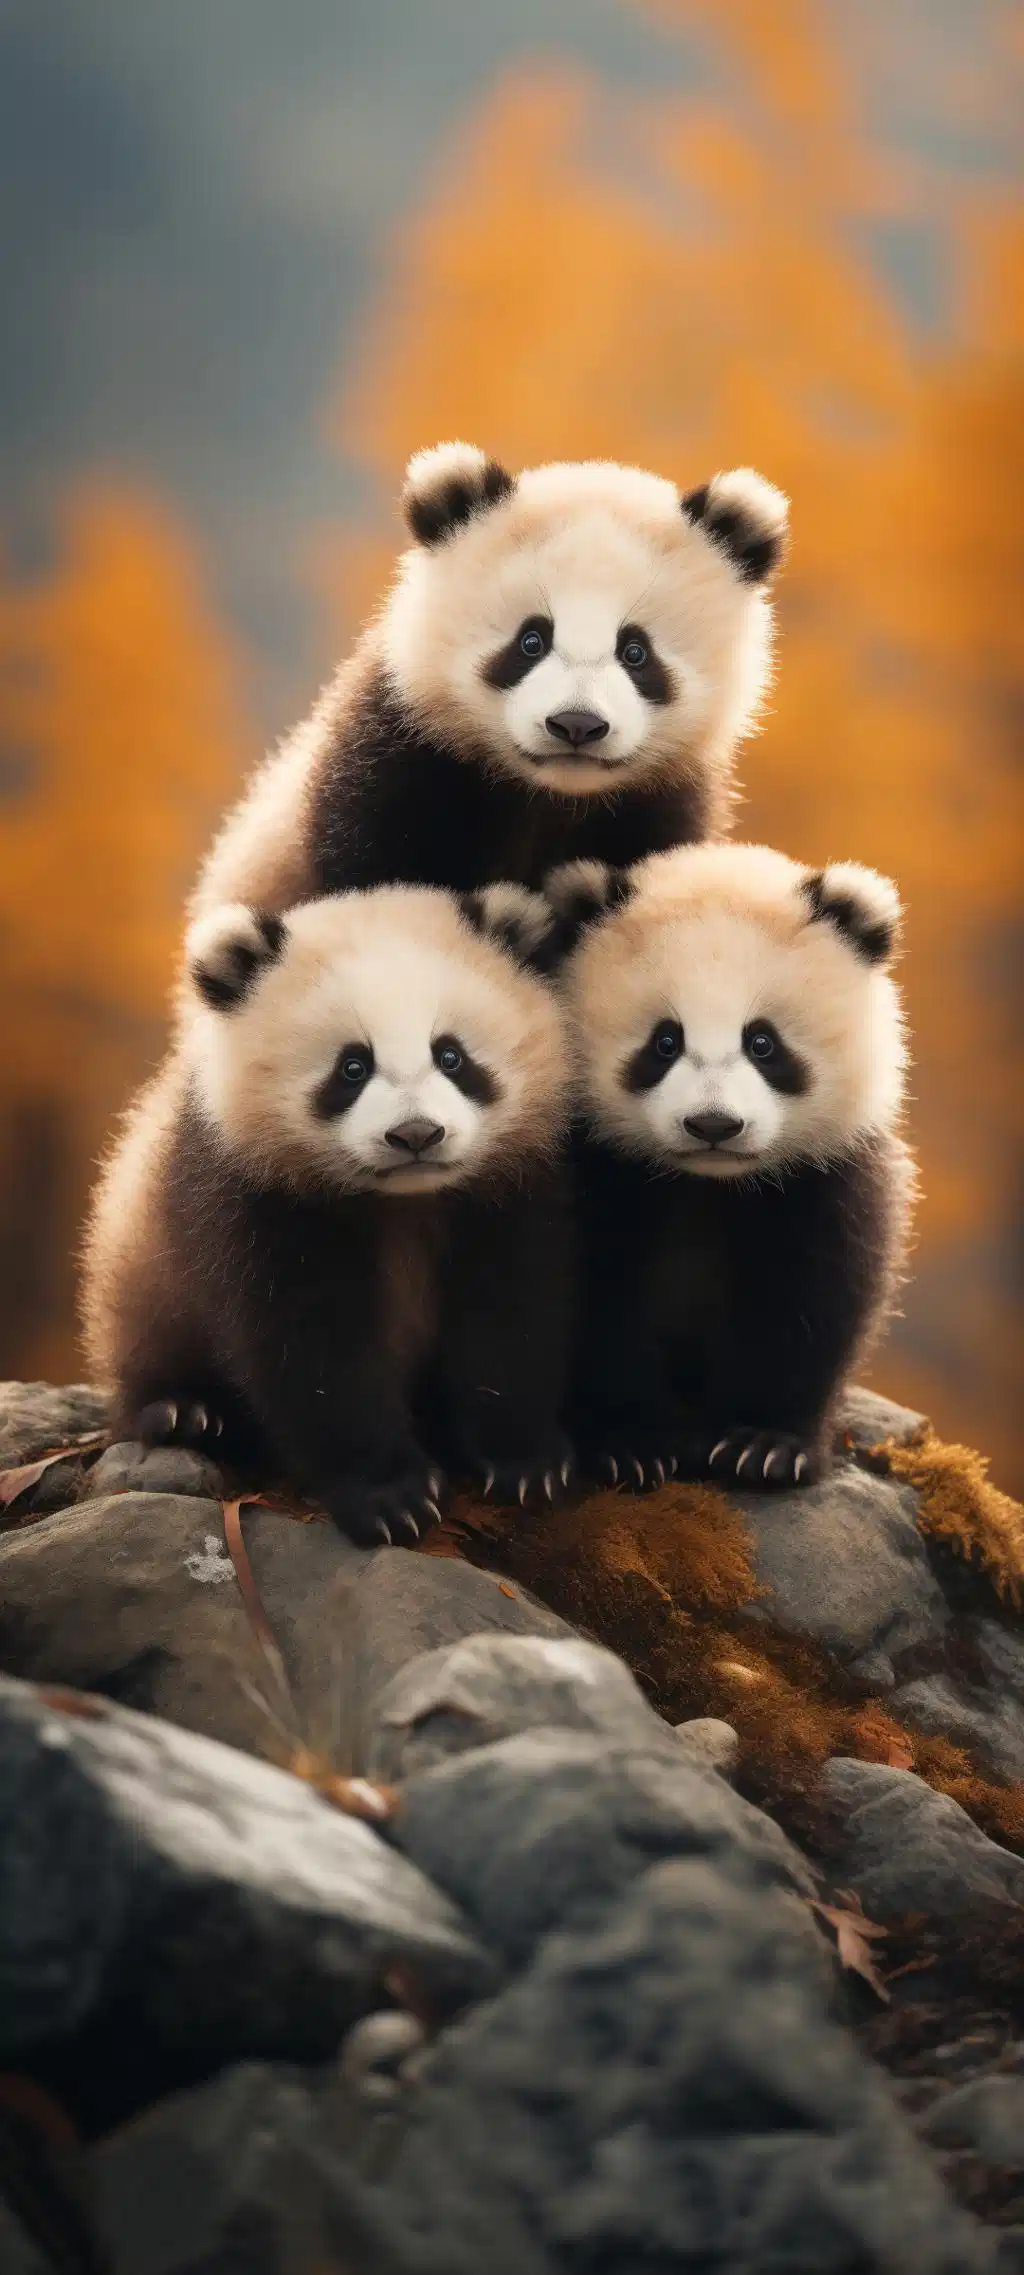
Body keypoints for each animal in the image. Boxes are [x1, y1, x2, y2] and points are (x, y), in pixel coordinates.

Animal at [82, 882, 574, 1545]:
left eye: (451, 1056)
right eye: (352, 1067)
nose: (416, 1134)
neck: (406, 1200)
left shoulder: (510, 1184)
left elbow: (511, 1306)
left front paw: (524, 1461)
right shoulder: (254, 1193)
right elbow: (312, 1344)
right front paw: (390, 1497)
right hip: (144, 1266)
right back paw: (187, 1414)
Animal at [189, 444, 789, 927]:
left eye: (636, 652)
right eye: (531, 640)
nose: (576, 724)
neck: (548, 797)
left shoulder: (658, 808)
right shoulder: (396, 763)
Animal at [547, 843, 914, 1491]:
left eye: (762, 1043)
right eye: (664, 1042)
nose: (713, 1125)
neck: (709, 1185)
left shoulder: (825, 1174)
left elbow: (814, 1298)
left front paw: (764, 1445)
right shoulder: (600, 1169)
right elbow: (600, 1296)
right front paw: (629, 1442)